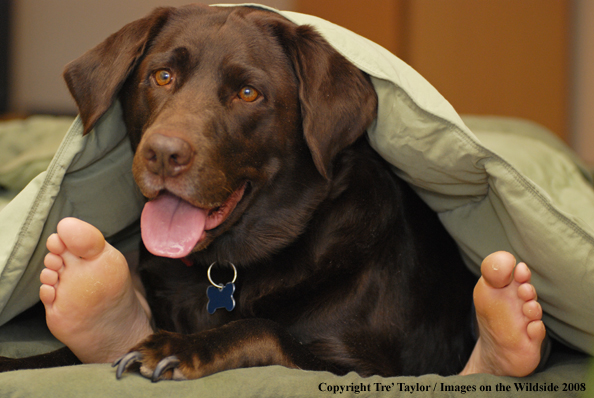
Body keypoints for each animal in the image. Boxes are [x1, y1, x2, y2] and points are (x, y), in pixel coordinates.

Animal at [0, 5, 474, 380]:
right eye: (162, 76)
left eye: (248, 93)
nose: (163, 154)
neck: (224, 267)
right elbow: (58, 356)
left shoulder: (364, 368)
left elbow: (263, 329)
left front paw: (179, 347)